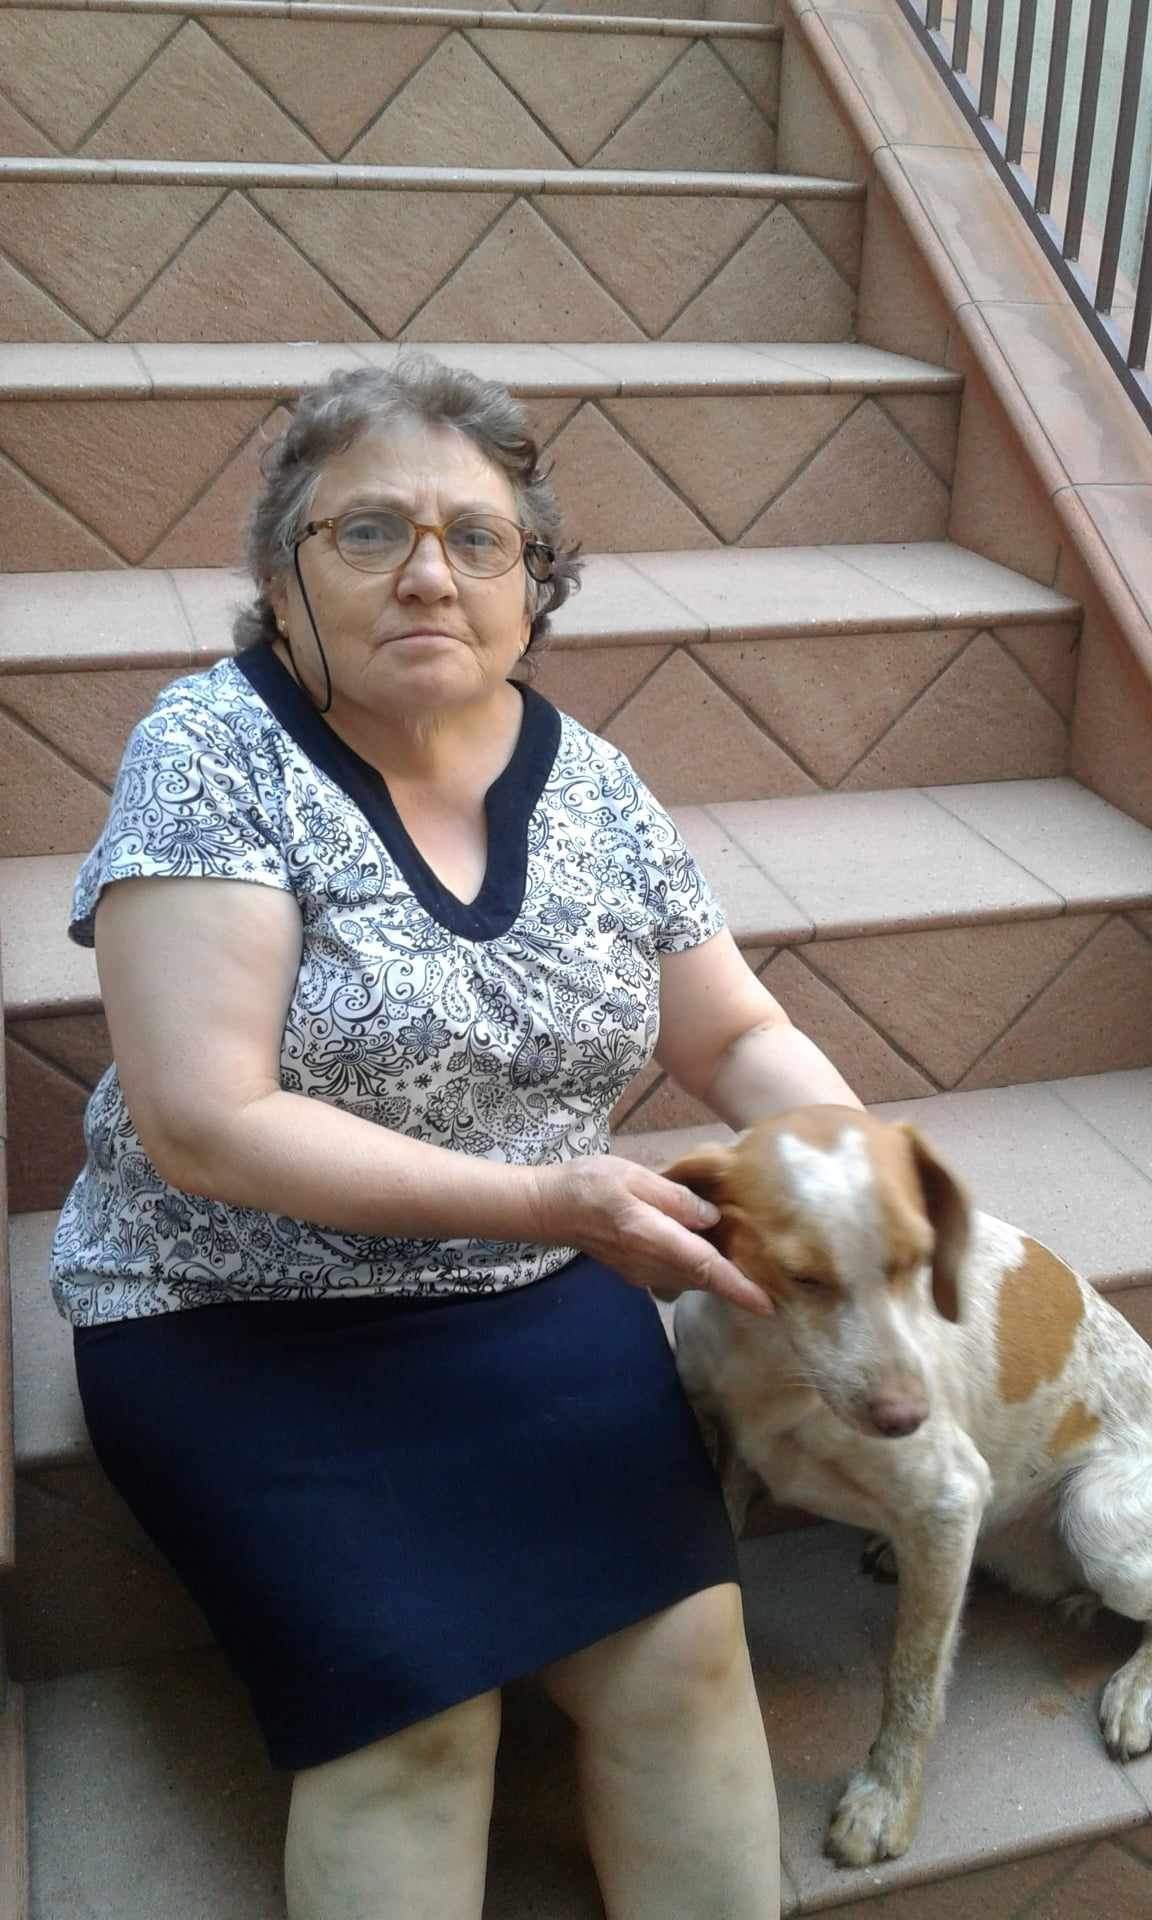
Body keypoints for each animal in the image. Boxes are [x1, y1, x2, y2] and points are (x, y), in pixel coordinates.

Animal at [663, 1105, 1152, 1868]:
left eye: (919, 1261)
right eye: (802, 1276)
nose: (906, 1418)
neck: (772, 1364)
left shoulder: (950, 1495)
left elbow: (913, 1677)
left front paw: (884, 1800)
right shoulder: (727, 1447)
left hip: (1094, 1513)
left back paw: (1134, 1692)